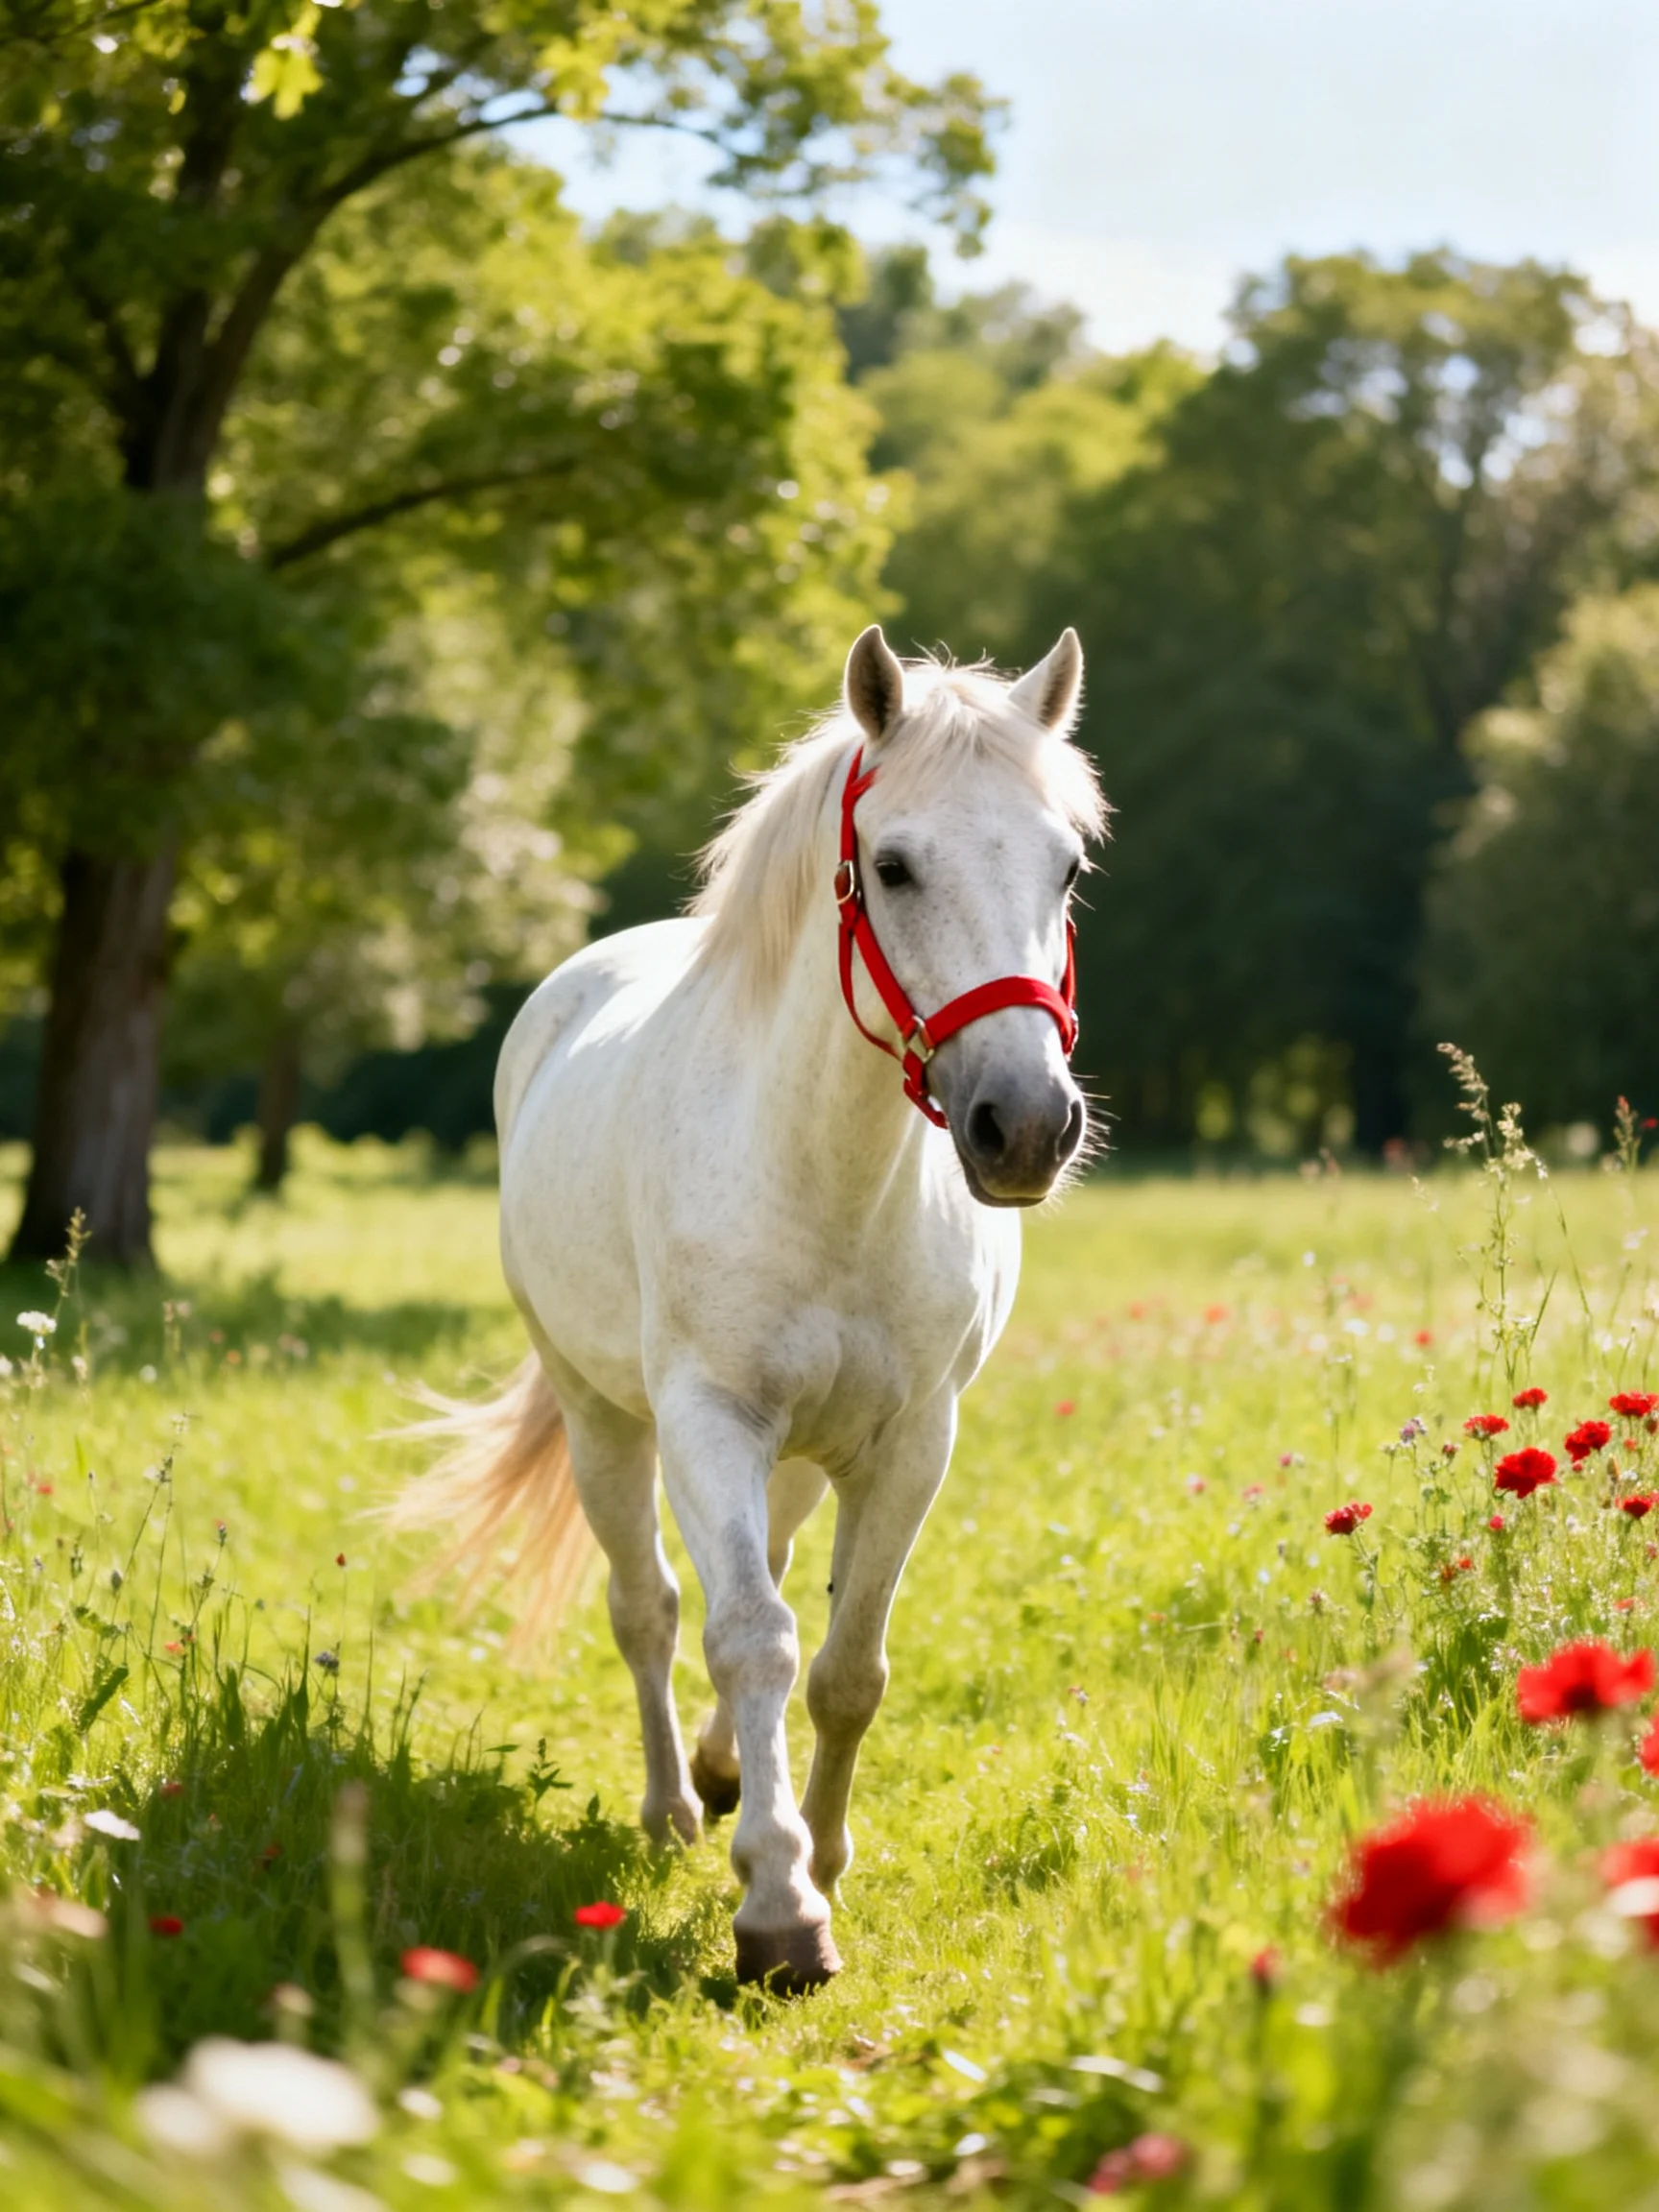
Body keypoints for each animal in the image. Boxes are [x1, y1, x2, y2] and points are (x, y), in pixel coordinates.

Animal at [398, 624, 1106, 1991]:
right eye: (892, 865)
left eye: (1066, 865)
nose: (1028, 1127)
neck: (828, 1172)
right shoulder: (709, 1421)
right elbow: (749, 1636)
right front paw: (778, 1908)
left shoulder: (910, 1442)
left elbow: (845, 1666)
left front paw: (820, 1856)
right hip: (606, 1422)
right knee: (652, 1608)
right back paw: (678, 1804)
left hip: (795, 1453)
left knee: (766, 1574)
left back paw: (729, 1772)